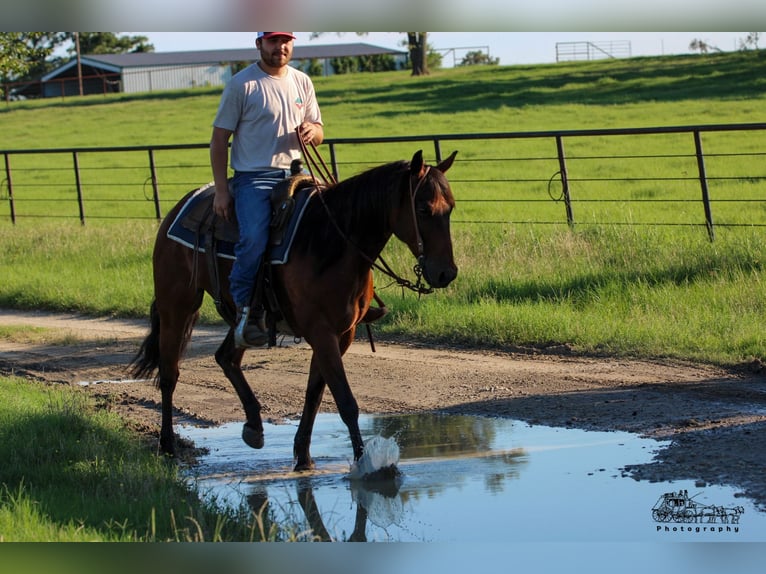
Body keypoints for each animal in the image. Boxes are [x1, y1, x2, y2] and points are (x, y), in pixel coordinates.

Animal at [129, 150, 460, 472]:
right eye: (423, 209)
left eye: (450, 209)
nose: (446, 273)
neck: (332, 243)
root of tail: (184, 204)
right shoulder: (321, 332)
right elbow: (345, 400)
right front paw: (366, 463)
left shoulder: (343, 334)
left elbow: (315, 393)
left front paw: (303, 456)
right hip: (177, 305)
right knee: (169, 373)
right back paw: (168, 446)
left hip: (242, 317)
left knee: (226, 357)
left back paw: (254, 425)